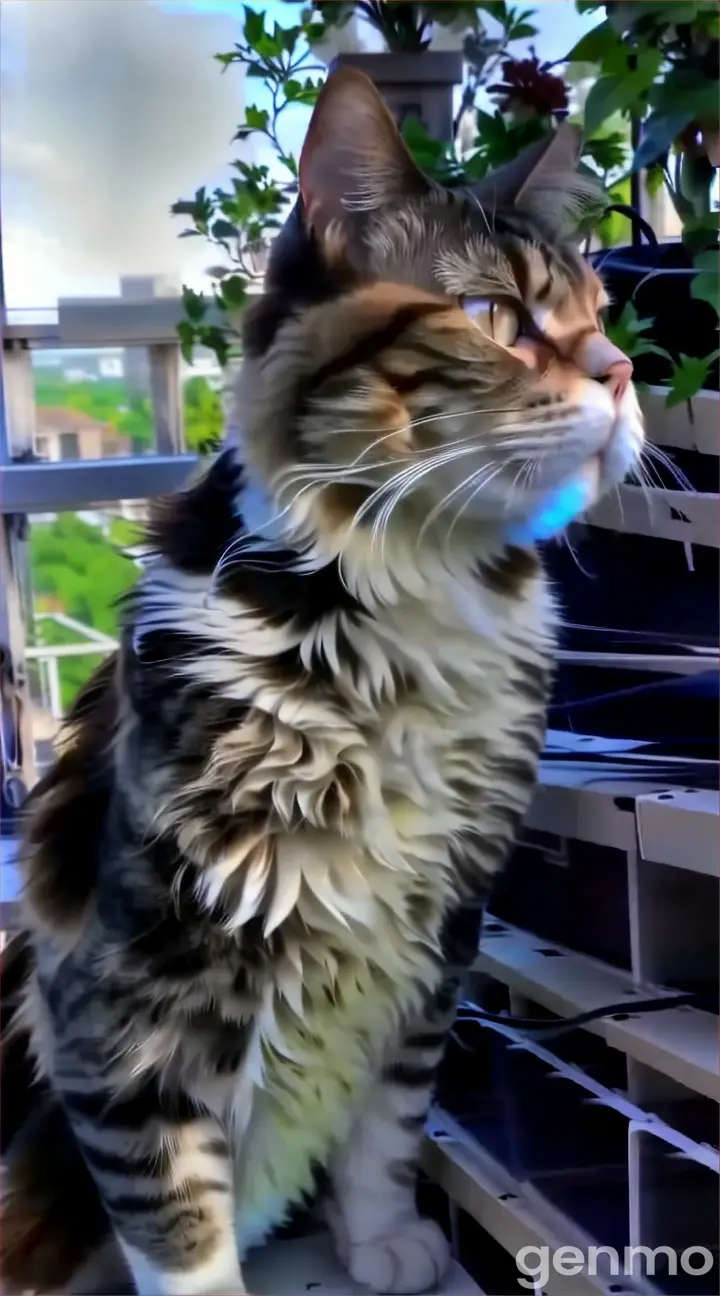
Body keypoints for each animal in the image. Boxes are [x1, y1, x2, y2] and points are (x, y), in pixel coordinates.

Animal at [0, 68, 642, 1296]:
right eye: (493, 317)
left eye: (601, 318)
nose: (626, 373)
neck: (408, 608)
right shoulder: (128, 999)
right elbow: (177, 1219)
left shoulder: (434, 936)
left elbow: (388, 1121)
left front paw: (380, 1237)